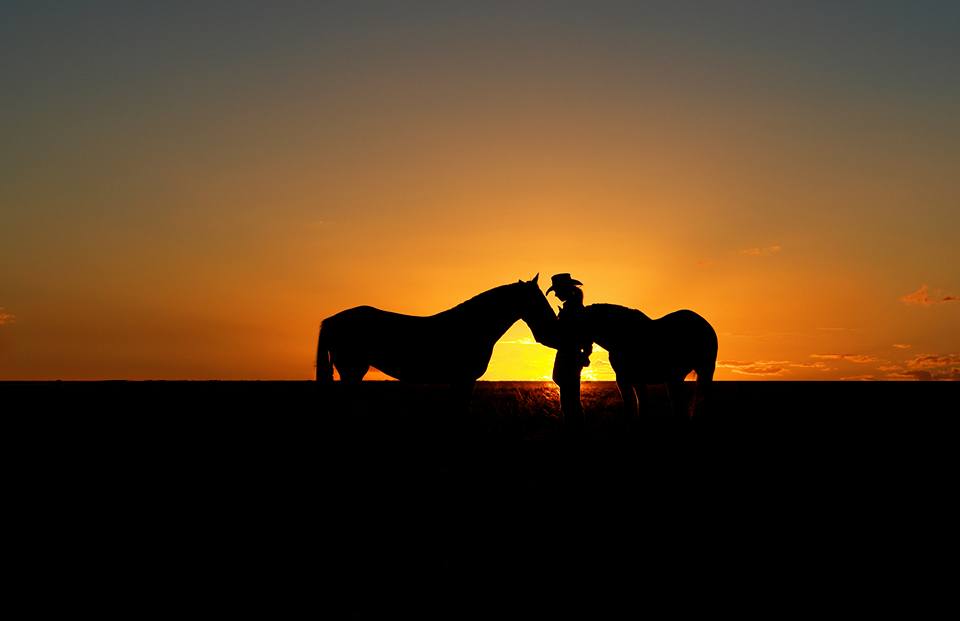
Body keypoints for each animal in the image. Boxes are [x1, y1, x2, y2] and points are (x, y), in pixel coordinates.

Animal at [316, 274, 556, 400]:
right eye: (537, 301)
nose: (550, 331)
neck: (472, 326)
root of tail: (331, 320)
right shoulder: (463, 380)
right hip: (352, 370)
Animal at [580, 304, 716, 418]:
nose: (585, 360)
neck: (621, 335)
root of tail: (706, 325)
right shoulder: (631, 380)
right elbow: (639, 405)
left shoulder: (629, 379)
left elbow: (636, 406)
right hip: (678, 378)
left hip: (704, 370)